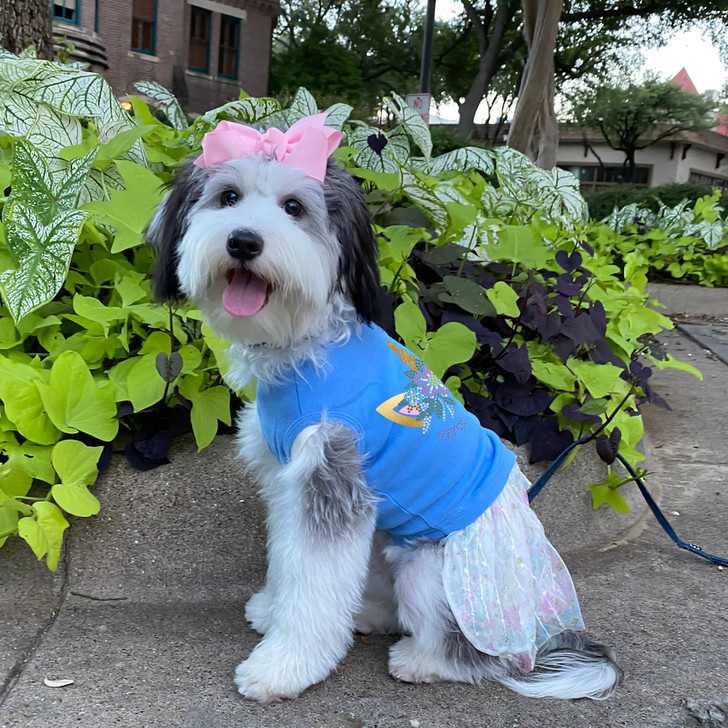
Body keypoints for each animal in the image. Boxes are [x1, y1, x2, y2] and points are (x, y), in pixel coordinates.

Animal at [146, 115, 620, 704]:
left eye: (294, 208)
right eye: (228, 197)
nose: (243, 240)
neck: (310, 345)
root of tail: (542, 627)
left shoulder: (331, 478)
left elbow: (312, 583)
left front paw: (283, 667)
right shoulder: (290, 483)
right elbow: (288, 561)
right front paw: (274, 609)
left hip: (435, 574)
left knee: (481, 657)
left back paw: (422, 660)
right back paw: (368, 616)